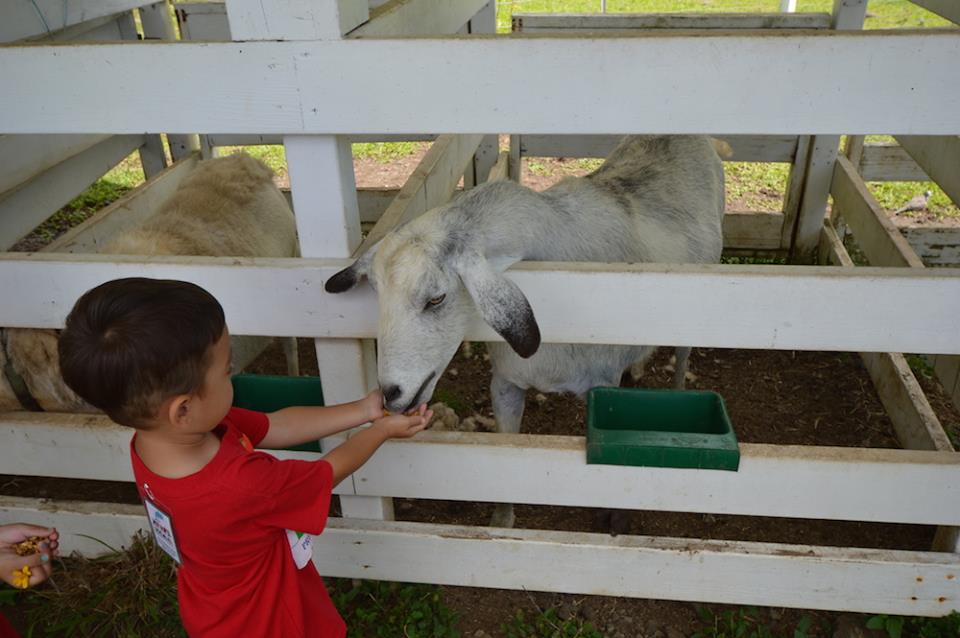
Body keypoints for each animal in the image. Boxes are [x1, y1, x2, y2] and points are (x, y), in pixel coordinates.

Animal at [326, 135, 724, 524]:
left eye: (436, 298)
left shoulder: (601, 390)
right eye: (377, 293)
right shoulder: (505, 383)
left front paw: (612, 518)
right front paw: (502, 520)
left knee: (683, 356)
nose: (391, 393)